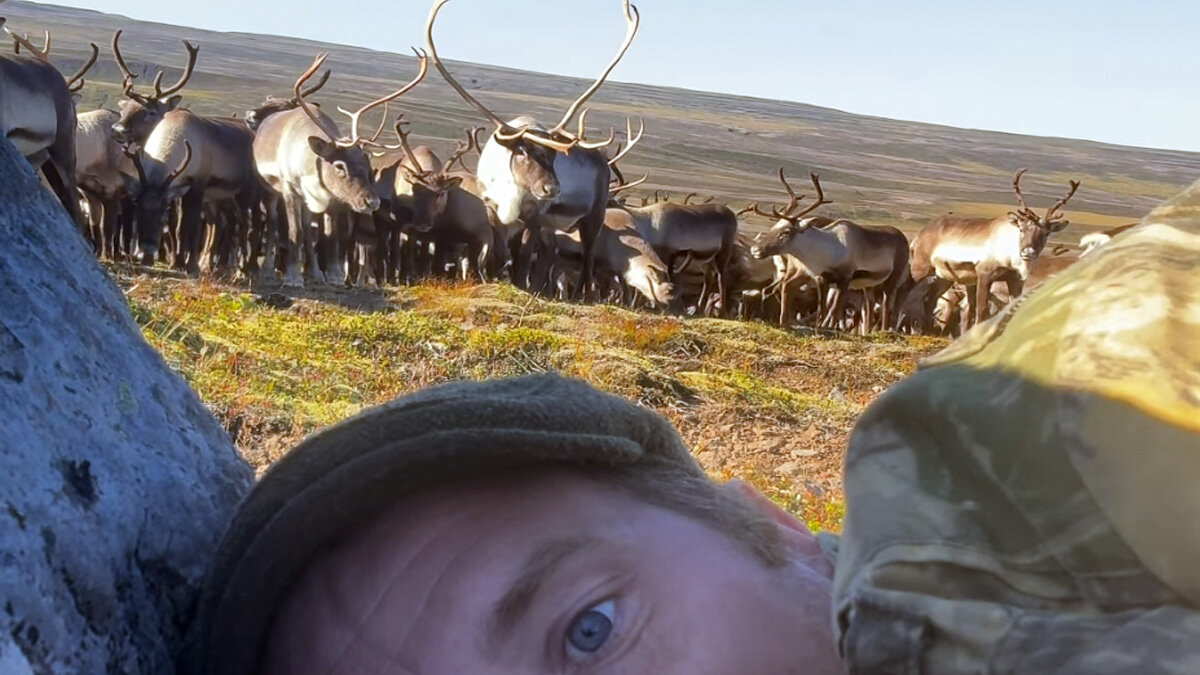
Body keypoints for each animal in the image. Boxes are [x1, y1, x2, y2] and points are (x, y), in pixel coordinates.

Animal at [252, 51, 428, 287]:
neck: (310, 165)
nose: (372, 202)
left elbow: (331, 236)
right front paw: (292, 277)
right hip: (270, 190)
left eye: (368, 167)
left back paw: (315, 272)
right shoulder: (290, 189)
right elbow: (294, 232)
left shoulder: (331, 198)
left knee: (309, 229)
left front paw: (333, 275)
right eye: (339, 166)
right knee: (273, 224)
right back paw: (269, 270)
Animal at [425, 0, 640, 298]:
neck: (511, 190)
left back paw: (582, 294)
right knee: (551, 255)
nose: (552, 189)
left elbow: (524, 255)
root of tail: (602, 160)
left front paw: (520, 285)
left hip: (593, 214)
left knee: (588, 255)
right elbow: (501, 252)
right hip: (554, 227)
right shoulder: (492, 208)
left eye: (553, 155)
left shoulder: (535, 216)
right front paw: (499, 279)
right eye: (523, 152)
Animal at [745, 170, 910, 334]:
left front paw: (829, 327)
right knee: (869, 305)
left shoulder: (845, 279)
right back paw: (867, 331)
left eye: (786, 232)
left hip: (893, 278)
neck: (827, 253)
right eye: (774, 227)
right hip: (869, 283)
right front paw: (820, 326)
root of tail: (903, 237)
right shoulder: (822, 280)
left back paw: (883, 330)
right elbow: (823, 308)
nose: (755, 249)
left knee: (887, 304)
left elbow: (835, 308)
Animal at [907, 169, 1081, 333]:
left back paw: (927, 331)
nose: (1028, 252)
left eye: (1046, 233)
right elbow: (981, 309)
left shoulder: (1015, 280)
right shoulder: (985, 275)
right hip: (922, 266)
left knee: (930, 299)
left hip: (944, 276)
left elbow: (1012, 308)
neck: (1010, 255)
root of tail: (920, 234)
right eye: (1022, 229)